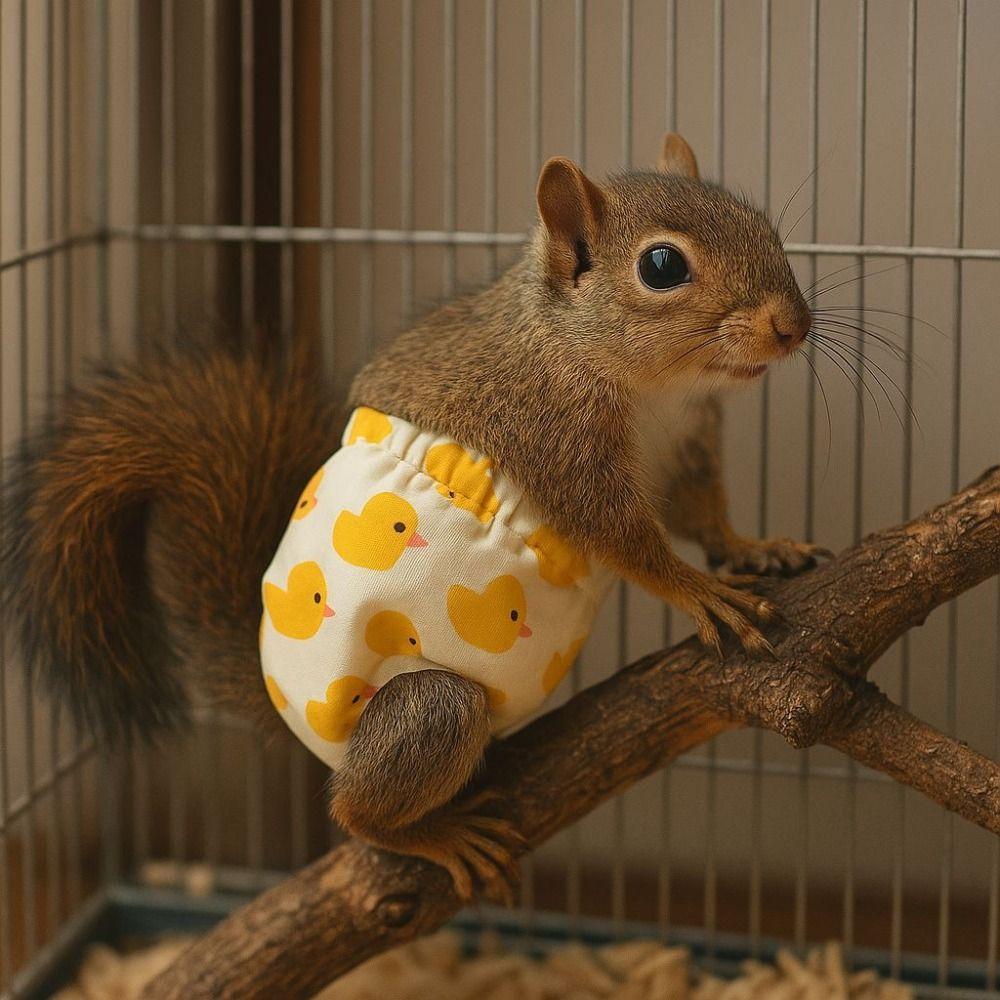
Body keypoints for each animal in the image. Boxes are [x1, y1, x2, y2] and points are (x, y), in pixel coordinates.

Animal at [2, 134, 826, 902]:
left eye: (764, 226)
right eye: (661, 266)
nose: (793, 325)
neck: (651, 387)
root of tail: (280, 699)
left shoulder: (686, 444)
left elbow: (702, 514)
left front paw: (753, 547)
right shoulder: (554, 442)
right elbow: (626, 541)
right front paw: (700, 591)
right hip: (432, 708)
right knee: (355, 810)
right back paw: (429, 835)